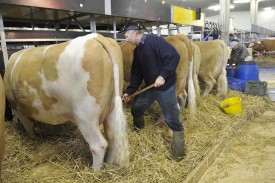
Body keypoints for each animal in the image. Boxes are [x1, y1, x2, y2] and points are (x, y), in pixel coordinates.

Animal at [3, 33, 130, 170]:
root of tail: (96, 36)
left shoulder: (17, 107)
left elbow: (27, 125)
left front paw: (33, 137)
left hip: (85, 115)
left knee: (98, 145)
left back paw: (94, 170)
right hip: (111, 107)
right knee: (113, 138)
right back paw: (109, 164)